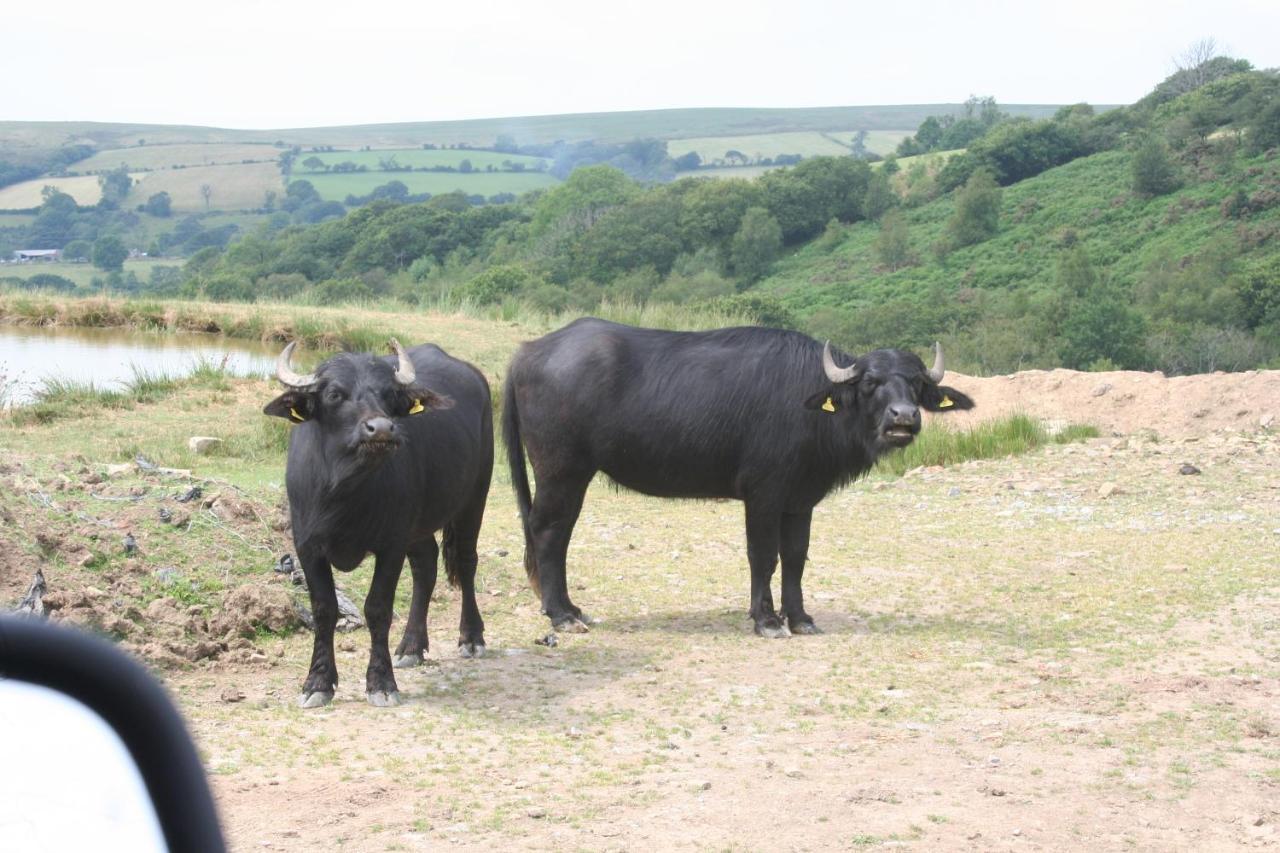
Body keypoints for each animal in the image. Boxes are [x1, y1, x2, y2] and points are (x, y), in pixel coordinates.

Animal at [262, 338, 491, 701]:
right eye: (334, 394)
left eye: (389, 395)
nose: (380, 429)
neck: (345, 493)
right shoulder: (307, 546)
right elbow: (324, 609)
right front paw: (318, 683)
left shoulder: (391, 544)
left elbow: (378, 608)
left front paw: (381, 683)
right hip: (419, 525)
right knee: (426, 566)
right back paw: (411, 647)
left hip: (474, 498)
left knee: (466, 562)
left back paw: (471, 638)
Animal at [499, 320, 967, 637]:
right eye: (870, 381)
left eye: (915, 382)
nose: (903, 418)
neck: (808, 404)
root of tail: (528, 352)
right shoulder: (763, 495)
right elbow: (763, 556)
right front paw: (767, 619)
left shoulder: (800, 500)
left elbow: (795, 557)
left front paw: (799, 618)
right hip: (562, 472)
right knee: (547, 531)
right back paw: (561, 614)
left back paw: (572, 609)